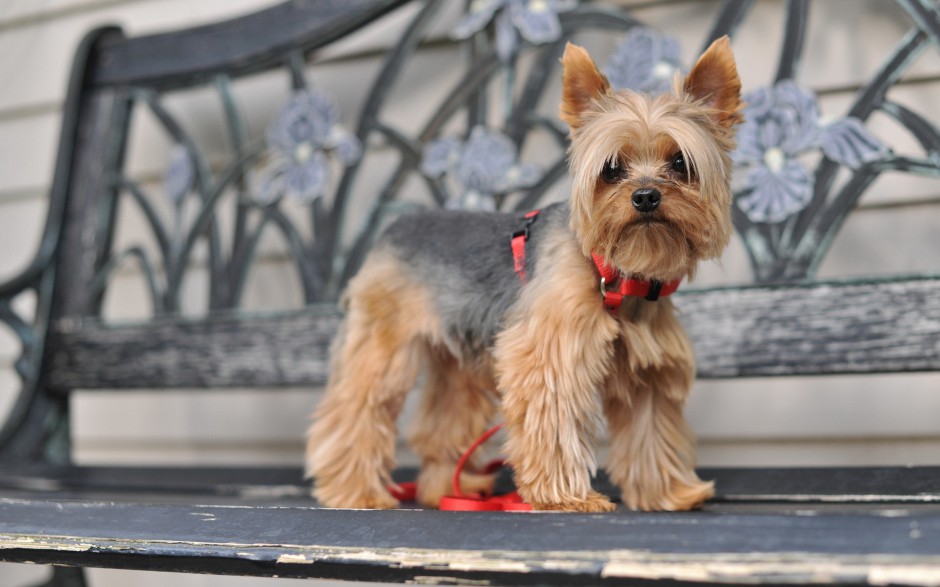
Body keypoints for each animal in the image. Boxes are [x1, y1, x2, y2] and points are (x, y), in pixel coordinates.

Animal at [308, 36, 740, 512]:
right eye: (611, 169)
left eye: (680, 163)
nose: (645, 196)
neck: (617, 274)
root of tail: (392, 228)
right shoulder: (549, 352)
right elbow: (554, 422)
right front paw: (566, 497)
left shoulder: (649, 370)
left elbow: (650, 430)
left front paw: (667, 493)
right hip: (381, 341)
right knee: (355, 410)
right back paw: (357, 491)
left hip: (458, 360)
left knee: (442, 423)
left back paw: (449, 491)